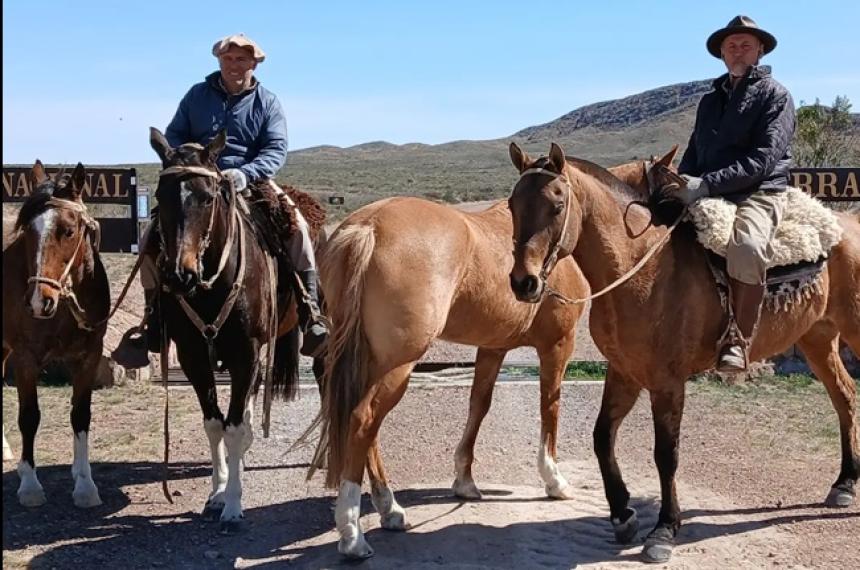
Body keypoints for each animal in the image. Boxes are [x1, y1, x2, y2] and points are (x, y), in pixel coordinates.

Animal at [2, 160, 109, 506]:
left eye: (69, 230)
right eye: (27, 232)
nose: (39, 300)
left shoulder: (88, 357)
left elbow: (80, 415)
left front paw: (85, 484)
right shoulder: (25, 358)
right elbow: (29, 416)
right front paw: (30, 485)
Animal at [310, 150, 680, 556]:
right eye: (673, 187)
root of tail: (368, 227)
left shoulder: (492, 347)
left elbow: (479, 406)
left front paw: (465, 481)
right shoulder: (558, 346)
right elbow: (549, 406)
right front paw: (554, 480)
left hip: (369, 361)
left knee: (365, 426)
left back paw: (389, 508)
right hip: (397, 365)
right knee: (362, 421)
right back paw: (352, 533)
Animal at [508, 141, 860, 560]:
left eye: (557, 204)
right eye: (512, 204)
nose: (524, 282)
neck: (640, 267)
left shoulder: (667, 382)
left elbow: (666, 454)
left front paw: (664, 529)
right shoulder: (624, 371)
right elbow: (601, 437)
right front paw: (623, 514)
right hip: (817, 338)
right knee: (845, 396)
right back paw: (844, 484)